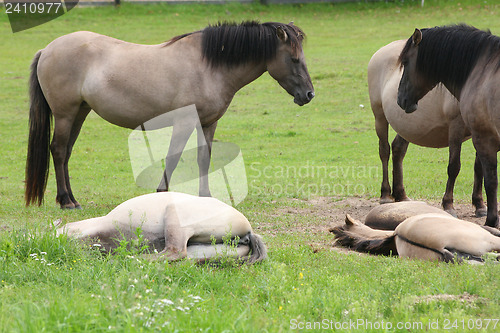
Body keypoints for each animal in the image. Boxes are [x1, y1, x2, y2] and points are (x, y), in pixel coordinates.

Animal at [25, 21, 314, 208]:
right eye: (294, 59)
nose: (309, 95)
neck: (208, 66)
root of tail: (47, 49)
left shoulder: (208, 123)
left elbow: (203, 158)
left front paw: (206, 196)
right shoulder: (184, 122)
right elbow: (173, 157)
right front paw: (161, 192)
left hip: (79, 113)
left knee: (65, 153)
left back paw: (71, 198)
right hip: (65, 114)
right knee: (58, 150)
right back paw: (66, 201)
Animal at [55, 191, 268, 264]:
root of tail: (249, 232)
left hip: (176, 217)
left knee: (175, 251)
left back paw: (129, 258)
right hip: (207, 249)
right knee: (179, 256)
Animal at [368, 39, 484, 215]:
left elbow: (479, 166)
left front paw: (480, 205)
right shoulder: (456, 127)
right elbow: (454, 166)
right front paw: (448, 205)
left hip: (406, 126)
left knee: (398, 149)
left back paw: (401, 195)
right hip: (380, 117)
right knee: (384, 151)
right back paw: (386, 194)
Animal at [398, 22, 500, 226]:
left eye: (405, 62)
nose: (400, 99)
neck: (482, 70)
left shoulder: (484, 137)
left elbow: (489, 180)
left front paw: (491, 221)